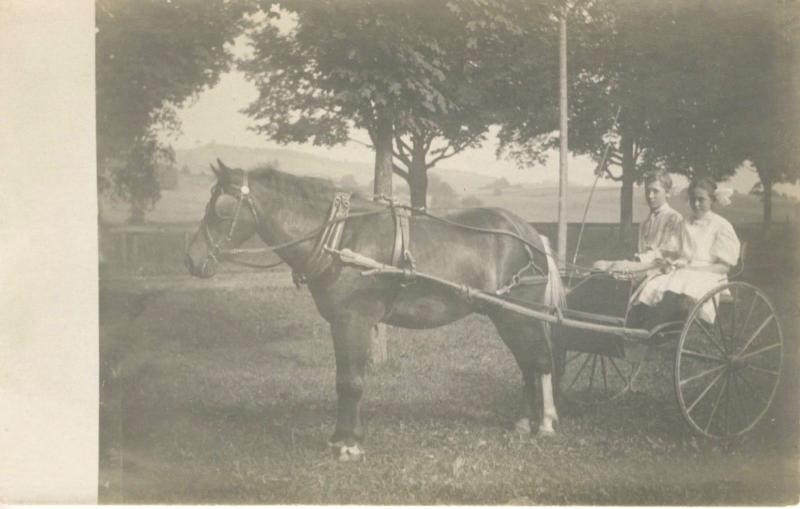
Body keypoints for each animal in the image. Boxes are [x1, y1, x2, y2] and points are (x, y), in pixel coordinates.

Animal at [185, 160, 564, 460]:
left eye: (219, 207)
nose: (191, 260)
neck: (342, 237)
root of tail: (531, 234)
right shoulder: (340, 322)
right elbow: (342, 379)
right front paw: (340, 437)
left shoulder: (354, 319)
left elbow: (352, 382)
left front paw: (349, 445)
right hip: (505, 316)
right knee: (527, 364)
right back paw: (524, 422)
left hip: (521, 314)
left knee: (541, 362)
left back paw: (545, 423)